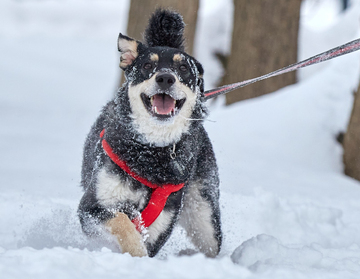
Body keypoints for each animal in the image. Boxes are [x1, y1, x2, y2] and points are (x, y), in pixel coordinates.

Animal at [77, 8, 221, 258]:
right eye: (146, 66)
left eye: (183, 68)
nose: (165, 78)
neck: (150, 154)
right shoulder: (92, 207)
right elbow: (124, 224)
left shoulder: (163, 219)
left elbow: (144, 242)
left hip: (205, 217)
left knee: (211, 246)